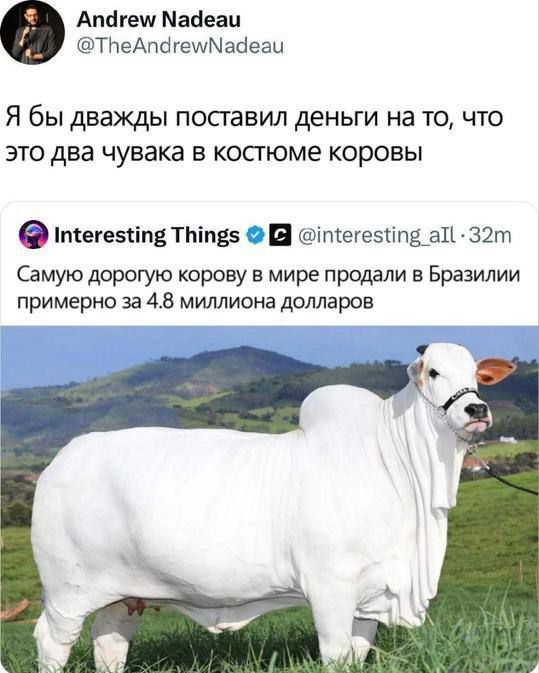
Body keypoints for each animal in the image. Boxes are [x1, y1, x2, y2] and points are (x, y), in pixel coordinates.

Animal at [31, 343, 516, 671]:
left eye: (475, 372)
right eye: (433, 371)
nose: (477, 409)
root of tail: (60, 460)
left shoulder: (370, 596)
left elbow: (356, 654)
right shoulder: (330, 587)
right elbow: (335, 654)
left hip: (125, 595)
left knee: (109, 641)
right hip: (67, 591)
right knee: (51, 641)